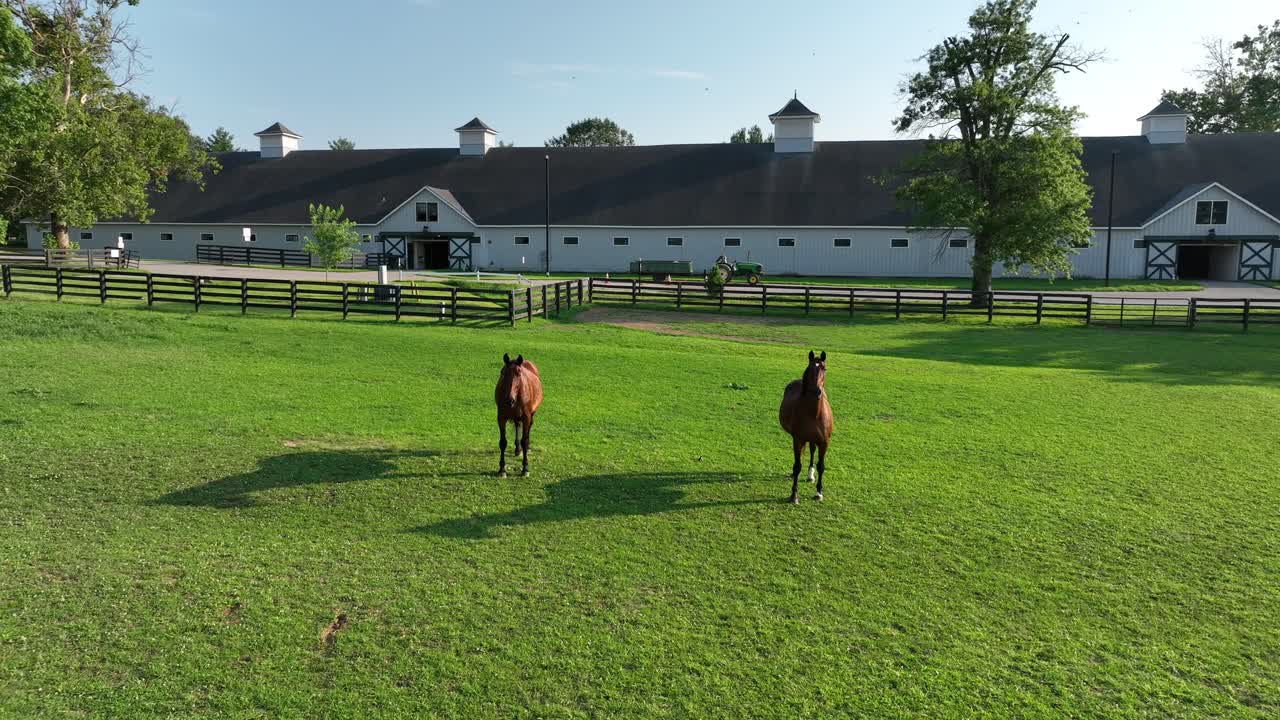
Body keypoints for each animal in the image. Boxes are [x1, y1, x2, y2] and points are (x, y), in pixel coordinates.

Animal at [778, 350, 834, 504]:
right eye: (809, 369)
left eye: (824, 369)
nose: (816, 392)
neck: (814, 414)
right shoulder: (798, 439)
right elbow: (797, 466)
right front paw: (794, 495)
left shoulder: (824, 442)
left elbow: (821, 466)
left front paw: (819, 493)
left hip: (814, 439)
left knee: (812, 451)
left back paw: (810, 475)